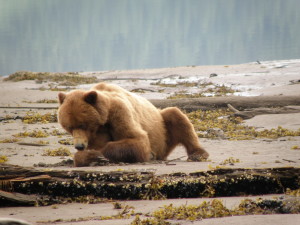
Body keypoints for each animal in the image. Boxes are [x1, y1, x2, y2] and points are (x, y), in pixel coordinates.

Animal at [58, 81, 209, 166]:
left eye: (83, 124)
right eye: (69, 127)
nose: (79, 146)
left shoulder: (120, 112)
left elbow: (138, 140)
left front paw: (96, 154)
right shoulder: (95, 134)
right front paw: (87, 156)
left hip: (163, 133)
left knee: (176, 116)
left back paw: (198, 154)